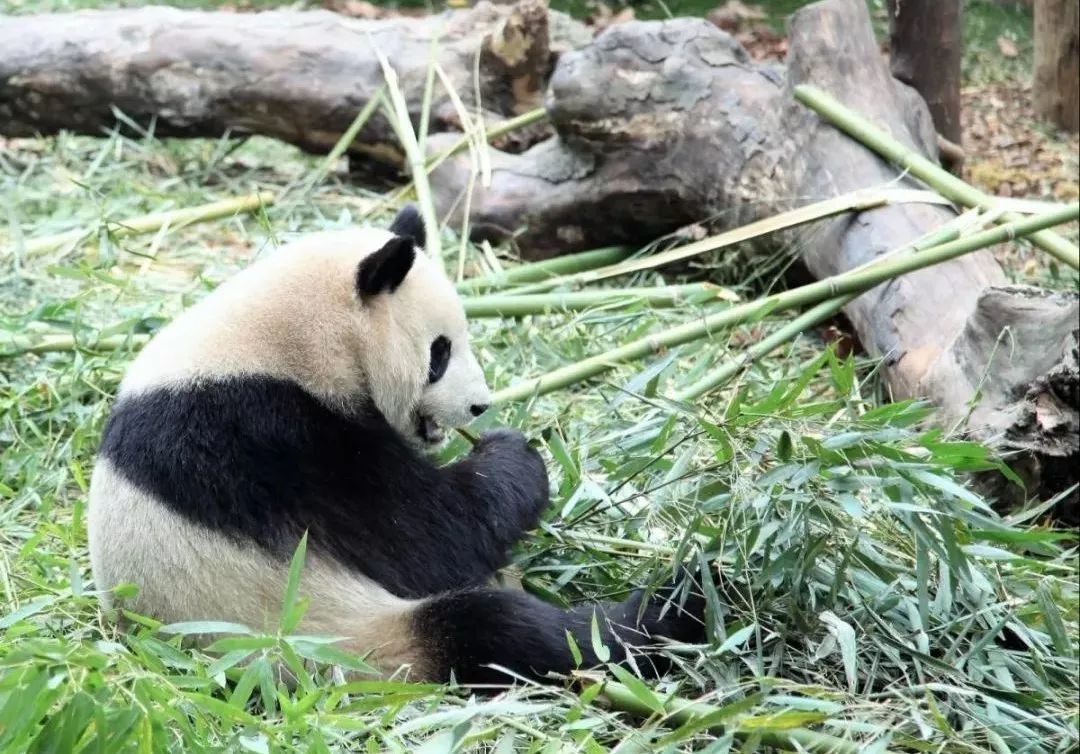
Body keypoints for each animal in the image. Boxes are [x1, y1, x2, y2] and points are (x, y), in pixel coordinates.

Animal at [88, 204, 704, 682]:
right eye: (439, 352)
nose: (478, 406)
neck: (280, 340)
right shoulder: (263, 437)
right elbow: (423, 539)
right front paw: (513, 457)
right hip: (346, 638)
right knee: (509, 634)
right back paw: (680, 606)